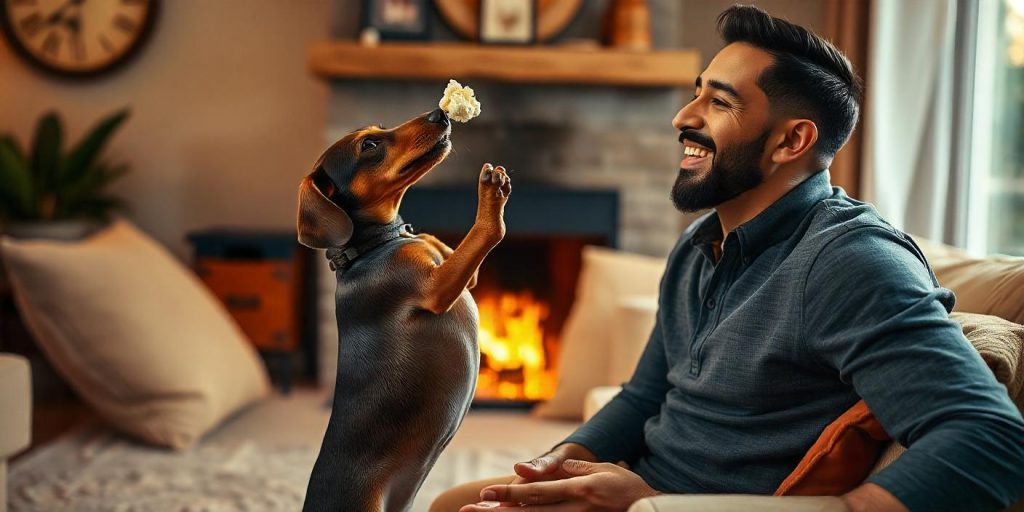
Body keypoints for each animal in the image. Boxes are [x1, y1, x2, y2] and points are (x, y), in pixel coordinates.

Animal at [296, 109, 512, 512]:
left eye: (380, 129)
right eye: (368, 145)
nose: (440, 113)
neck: (376, 245)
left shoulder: (459, 272)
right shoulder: (436, 289)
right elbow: (486, 232)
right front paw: (491, 197)